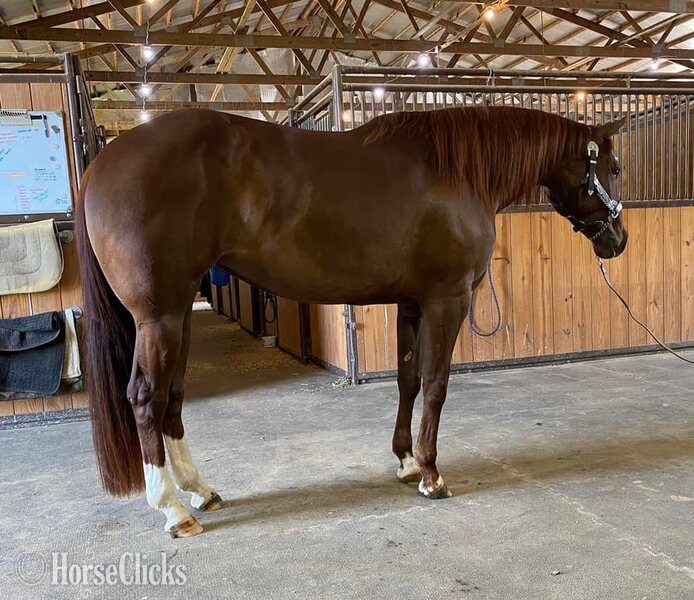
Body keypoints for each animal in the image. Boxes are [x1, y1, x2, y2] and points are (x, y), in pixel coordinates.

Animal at [75, 105, 627, 537]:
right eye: (616, 167)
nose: (618, 241)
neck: (458, 173)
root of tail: (103, 163)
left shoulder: (411, 303)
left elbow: (408, 380)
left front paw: (406, 462)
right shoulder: (446, 301)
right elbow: (436, 385)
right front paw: (431, 475)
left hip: (178, 315)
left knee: (172, 396)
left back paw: (200, 491)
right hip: (160, 317)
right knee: (145, 397)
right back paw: (172, 509)